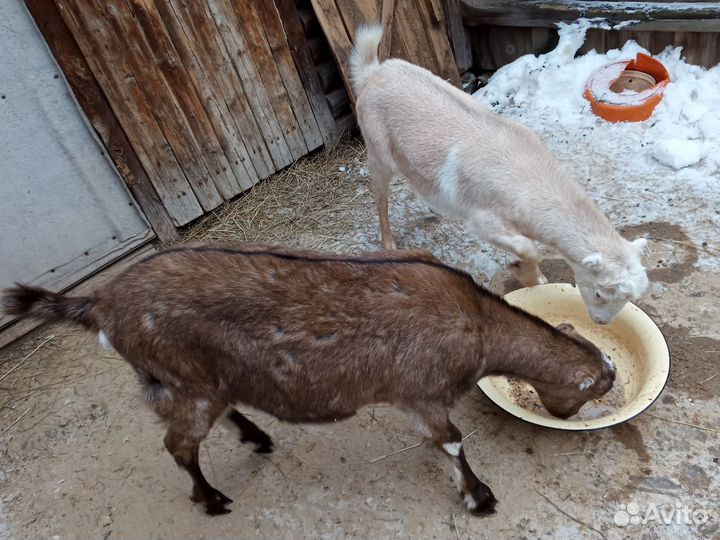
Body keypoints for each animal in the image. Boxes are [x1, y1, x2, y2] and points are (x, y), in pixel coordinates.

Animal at [2, 243, 615, 516]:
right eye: (589, 393)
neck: (478, 324)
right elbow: (452, 442)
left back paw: (256, 437)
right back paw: (213, 499)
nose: (565, 412)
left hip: (202, 381)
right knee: (178, 444)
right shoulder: (422, 391)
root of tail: (101, 305)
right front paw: (479, 498)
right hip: (185, 384)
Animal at [350, 24, 649, 324]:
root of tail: (372, 72)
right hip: (377, 150)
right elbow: (527, 247)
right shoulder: (483, 219)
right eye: (599, 293)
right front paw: (527, 274)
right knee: (380, 196)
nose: (601, 322)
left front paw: (532, 274)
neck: (528, 177)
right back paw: (389, 242)